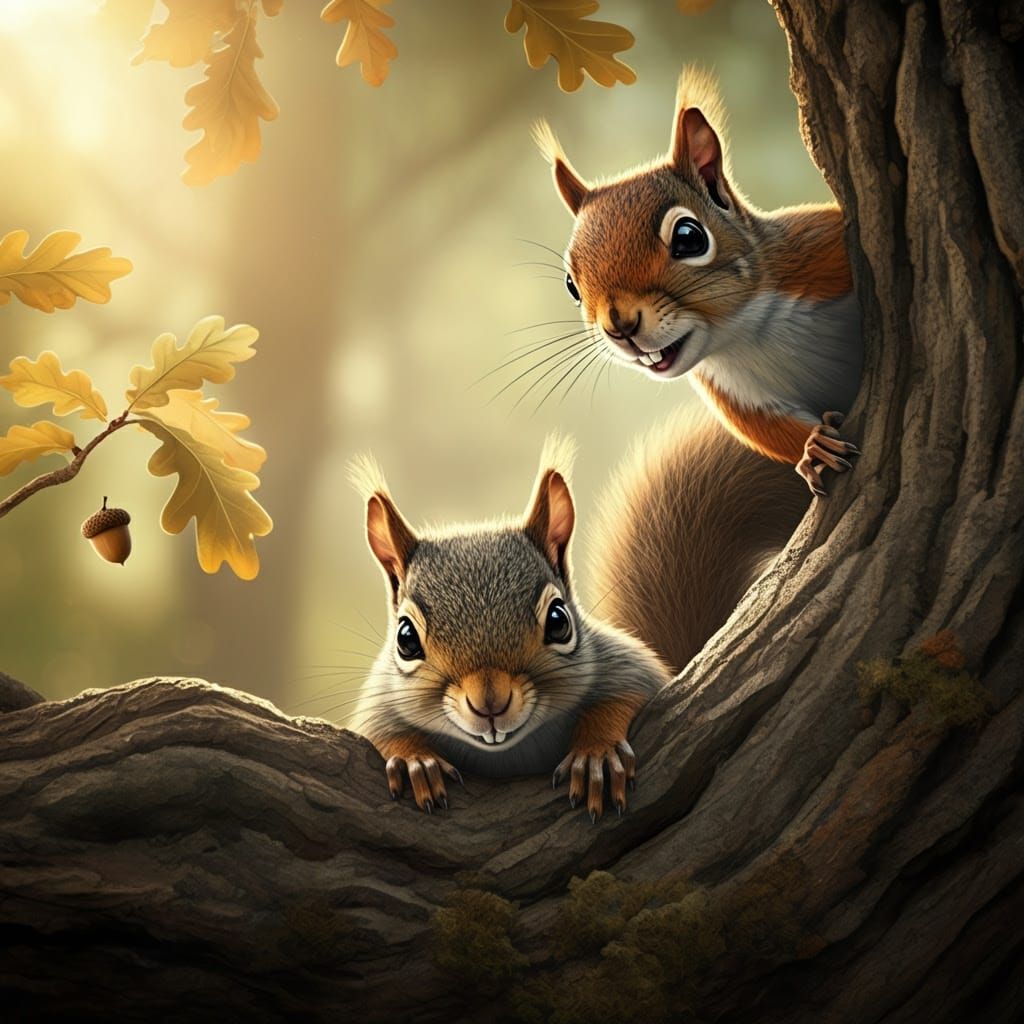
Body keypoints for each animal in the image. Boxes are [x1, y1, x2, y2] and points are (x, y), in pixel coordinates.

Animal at [348, 423, 806, 820]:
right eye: (406, 638)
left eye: (558, 620)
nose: (489, 702)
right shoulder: (378, 700)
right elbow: (377, 727)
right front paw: (415, 760)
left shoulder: (628, 664)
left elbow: (626, 693)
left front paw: (596, 754)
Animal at [535, 67, 863, 496]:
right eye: (571, 285)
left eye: (689, 237)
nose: (620, 326)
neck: (749, 334)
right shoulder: (734, 395)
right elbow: (771, 431)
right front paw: (813, 448)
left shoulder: (821, 254)